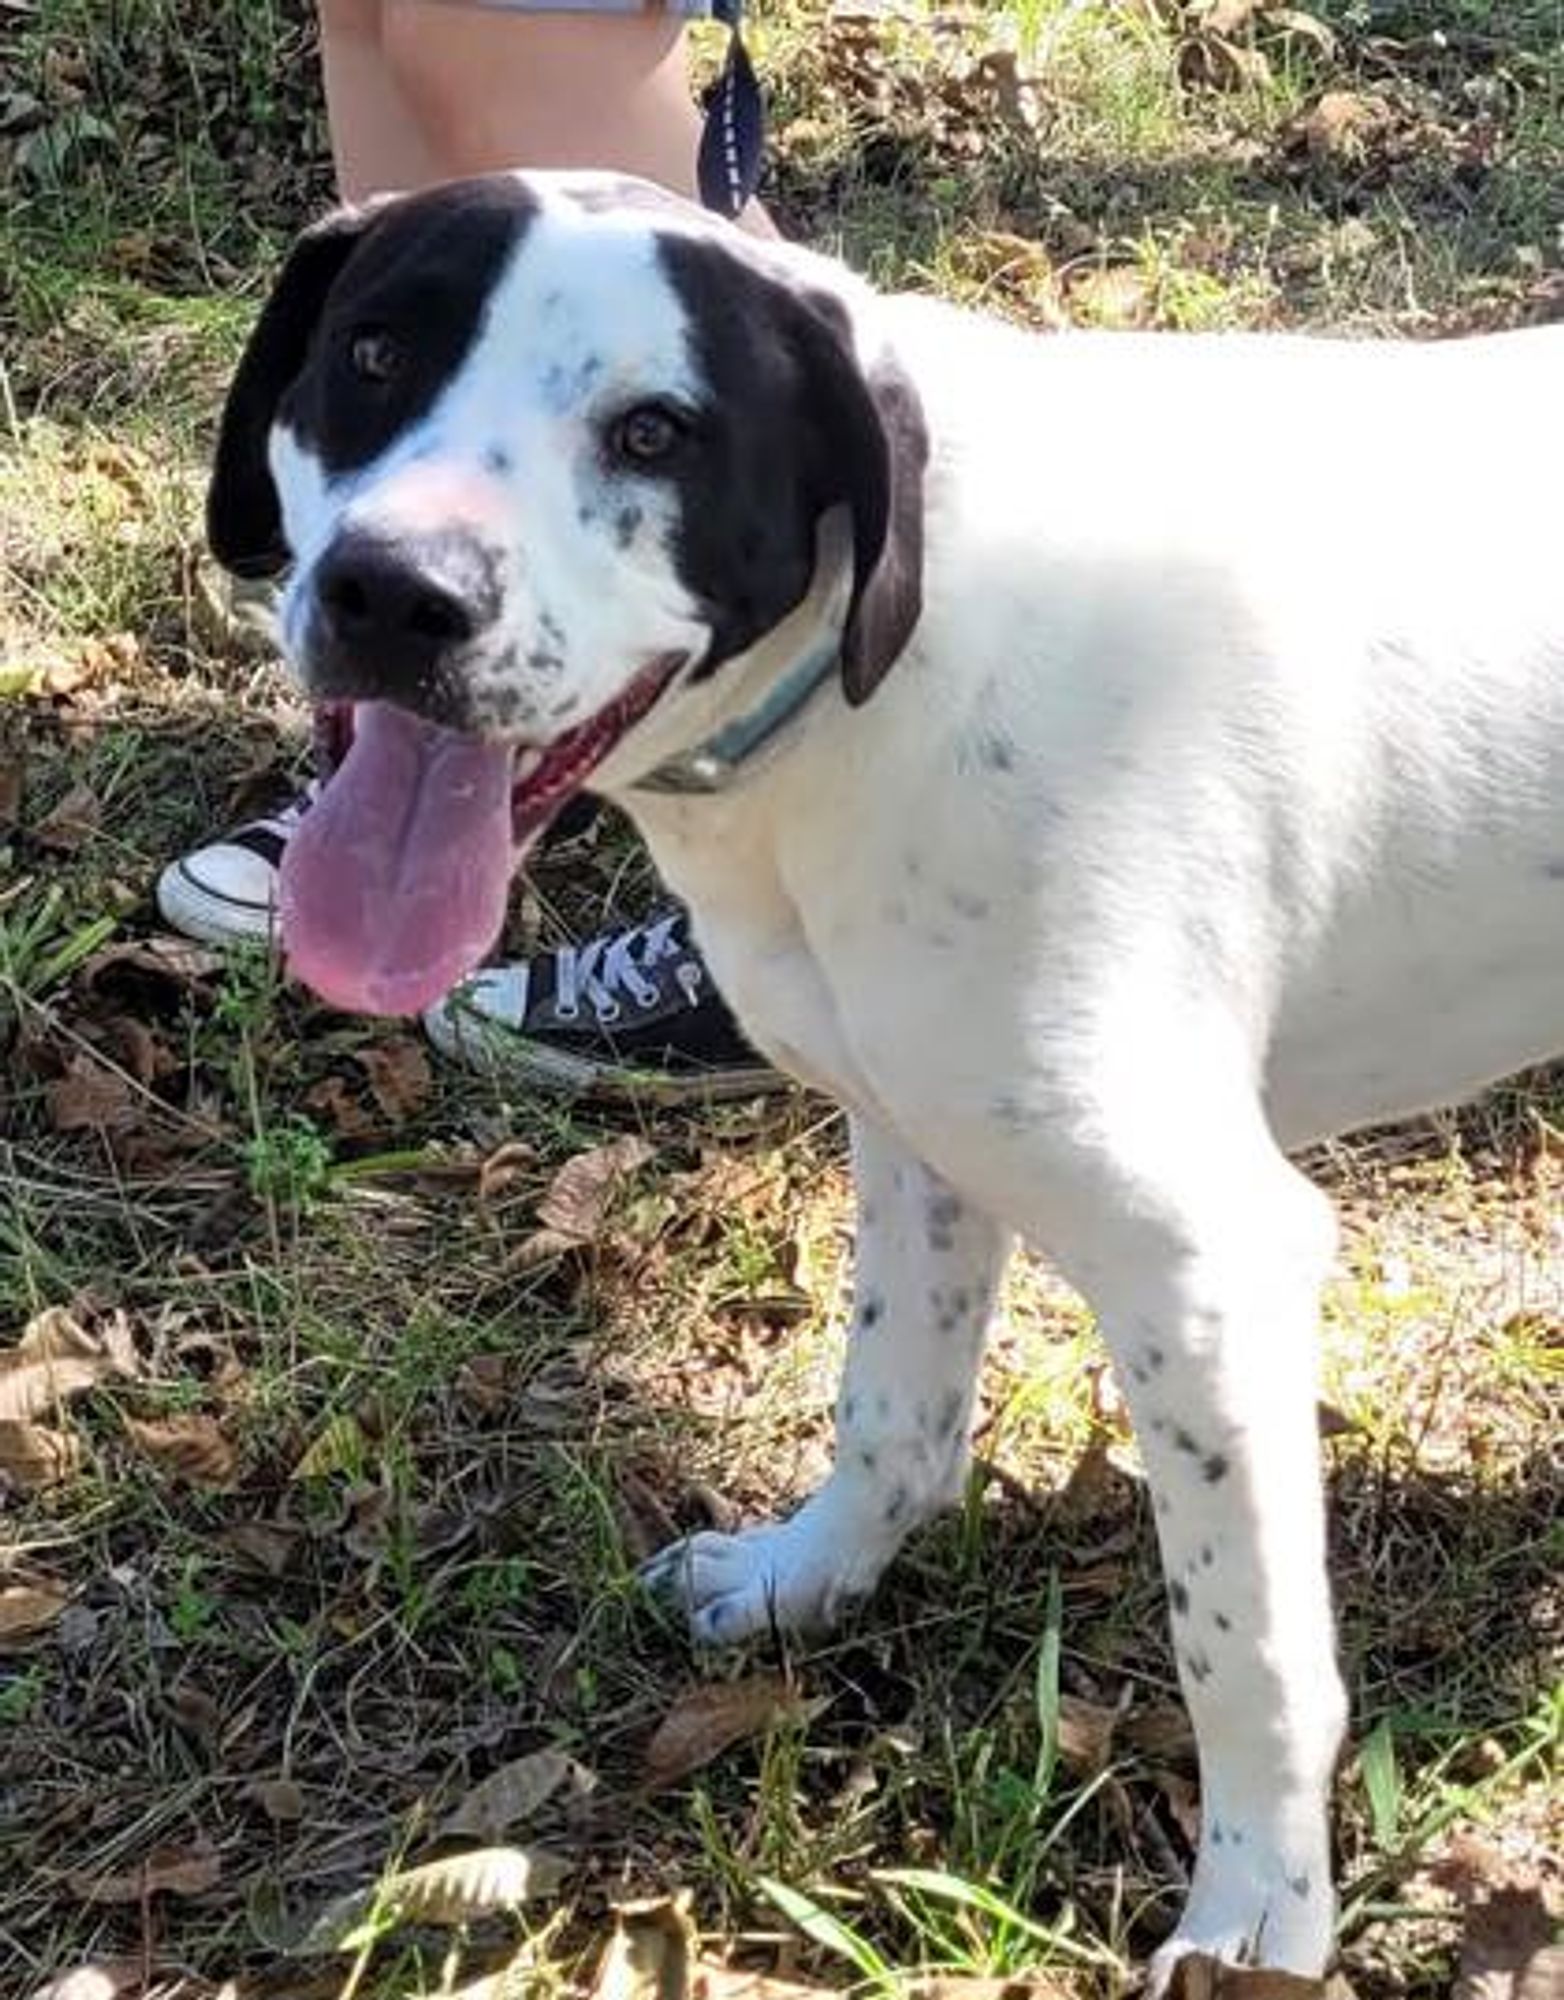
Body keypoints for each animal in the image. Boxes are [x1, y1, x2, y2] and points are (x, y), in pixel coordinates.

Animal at [205, 176, 1552, 1984]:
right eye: (372, 354)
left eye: (655, 430)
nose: (393, 594)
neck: (882, 654)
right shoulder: (916, 1130)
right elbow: (889, 1412)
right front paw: (806, 1579)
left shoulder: (1204, 1260)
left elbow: (1245, 1650)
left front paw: (1256, 1918)